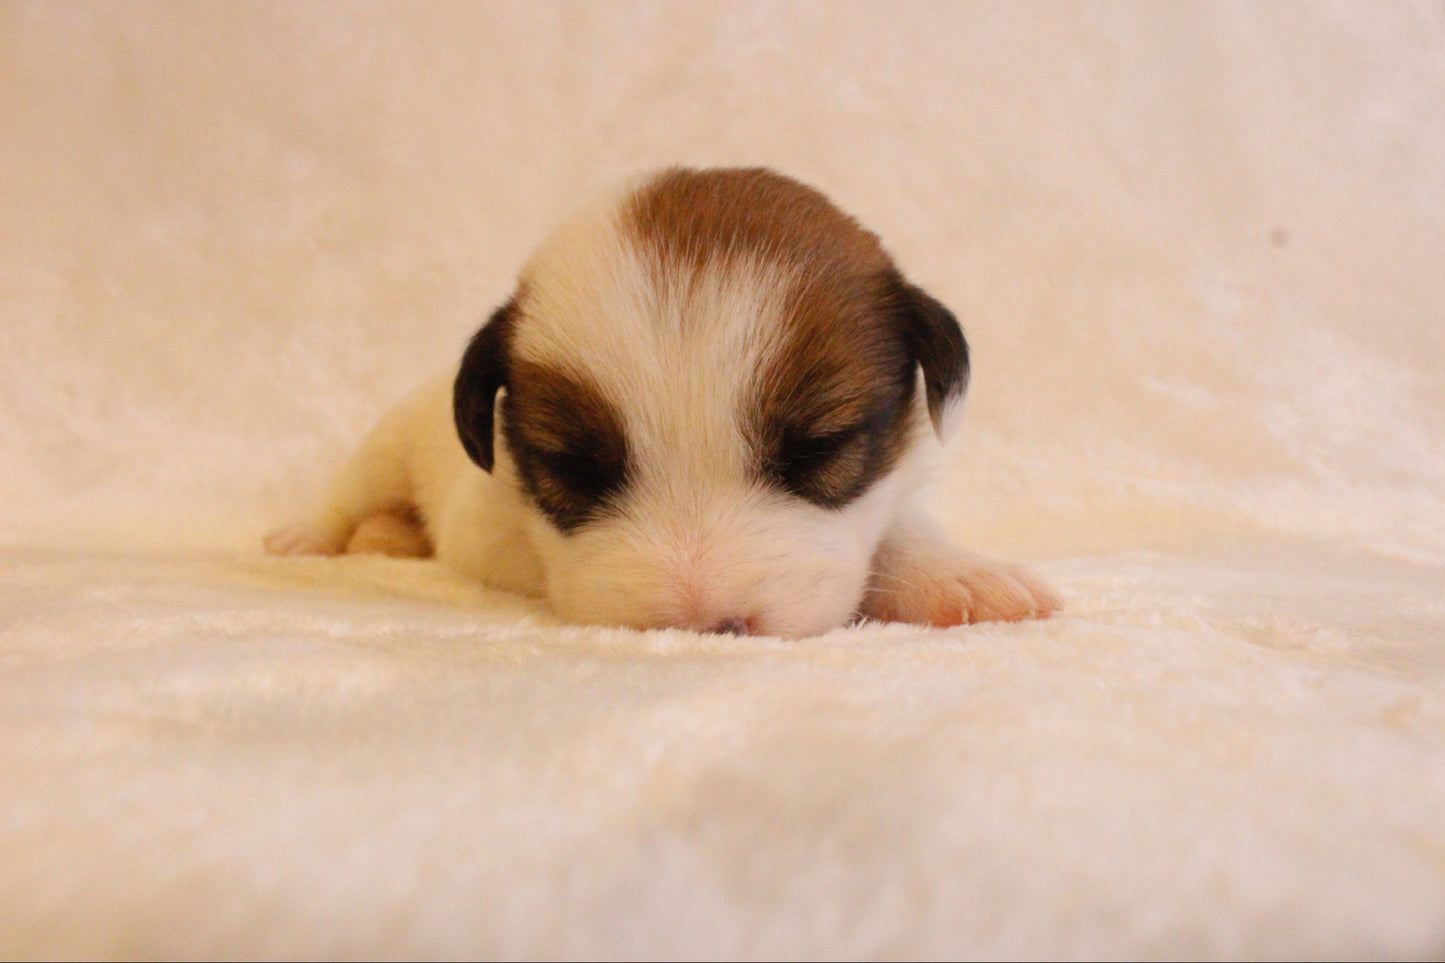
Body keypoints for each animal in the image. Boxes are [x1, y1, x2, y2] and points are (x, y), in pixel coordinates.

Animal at [268, 167, 1063, 630]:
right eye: (574, 469)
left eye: (818, 449)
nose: (702, 624)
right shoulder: (482, 528)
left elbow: (897, 530)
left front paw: (960, 575)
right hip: (385, 446)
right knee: (347, 496)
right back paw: (315, 535)